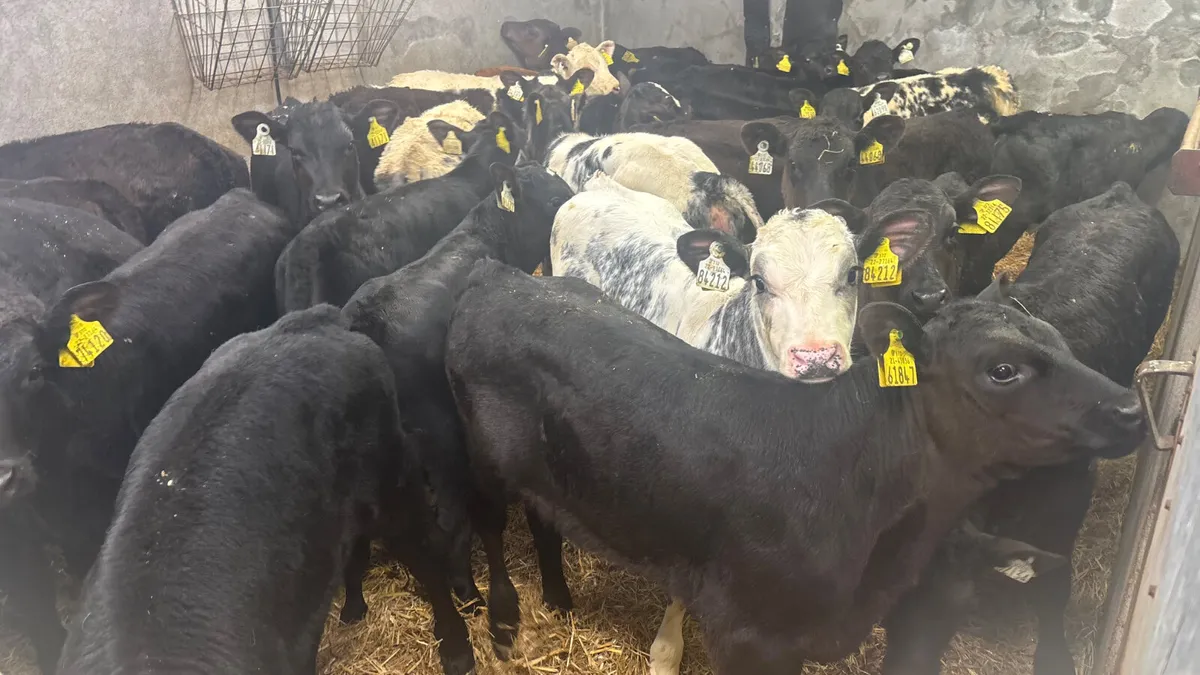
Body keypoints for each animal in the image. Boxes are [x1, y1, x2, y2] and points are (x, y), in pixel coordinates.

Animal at [444, 258, 1146, 675]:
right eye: (1003, 369)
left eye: (1058, 339)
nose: (1131, 407)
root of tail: (504, 279)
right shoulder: (746, 634)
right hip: (479, 458)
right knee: (490, 528)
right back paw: (504, 624)